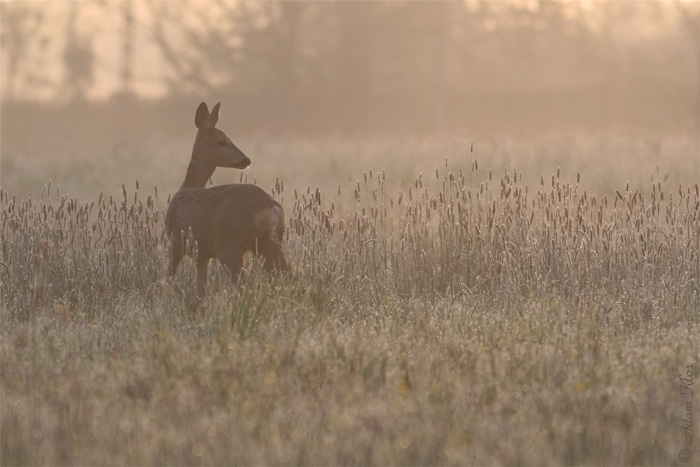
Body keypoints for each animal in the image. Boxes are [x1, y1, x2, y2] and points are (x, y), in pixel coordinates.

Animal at [165, 103, 288, 300]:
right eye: (222, 141)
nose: (246, 159)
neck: (185, 187)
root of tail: (272, 207)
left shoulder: (176, 241)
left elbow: (168, 278)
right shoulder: (202, 254)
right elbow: (201, 292)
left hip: (230, 247)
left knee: (243, 284)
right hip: (270, 242)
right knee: (287, 274)